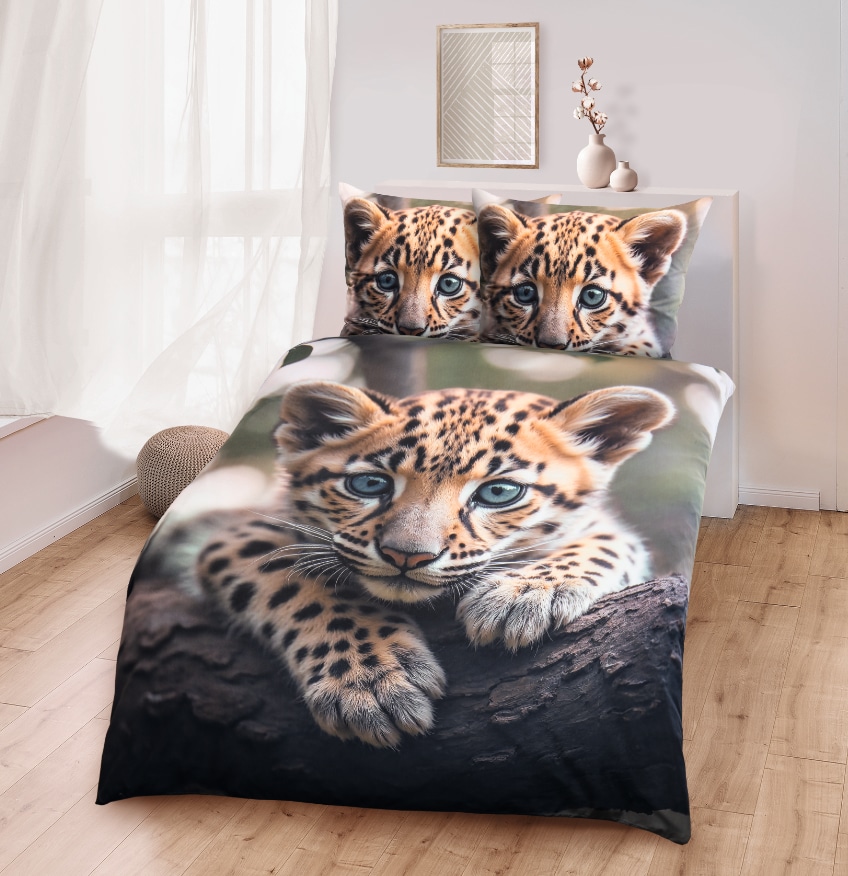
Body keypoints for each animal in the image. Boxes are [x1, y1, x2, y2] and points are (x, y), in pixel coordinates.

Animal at [194, 379, 674, 748]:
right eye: (369, 484)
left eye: (499, 492)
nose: (406, 555)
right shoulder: (239, 537)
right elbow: (305, 585)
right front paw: (371, 683)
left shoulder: (605, 529)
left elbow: (604, 544)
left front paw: (520, 596)